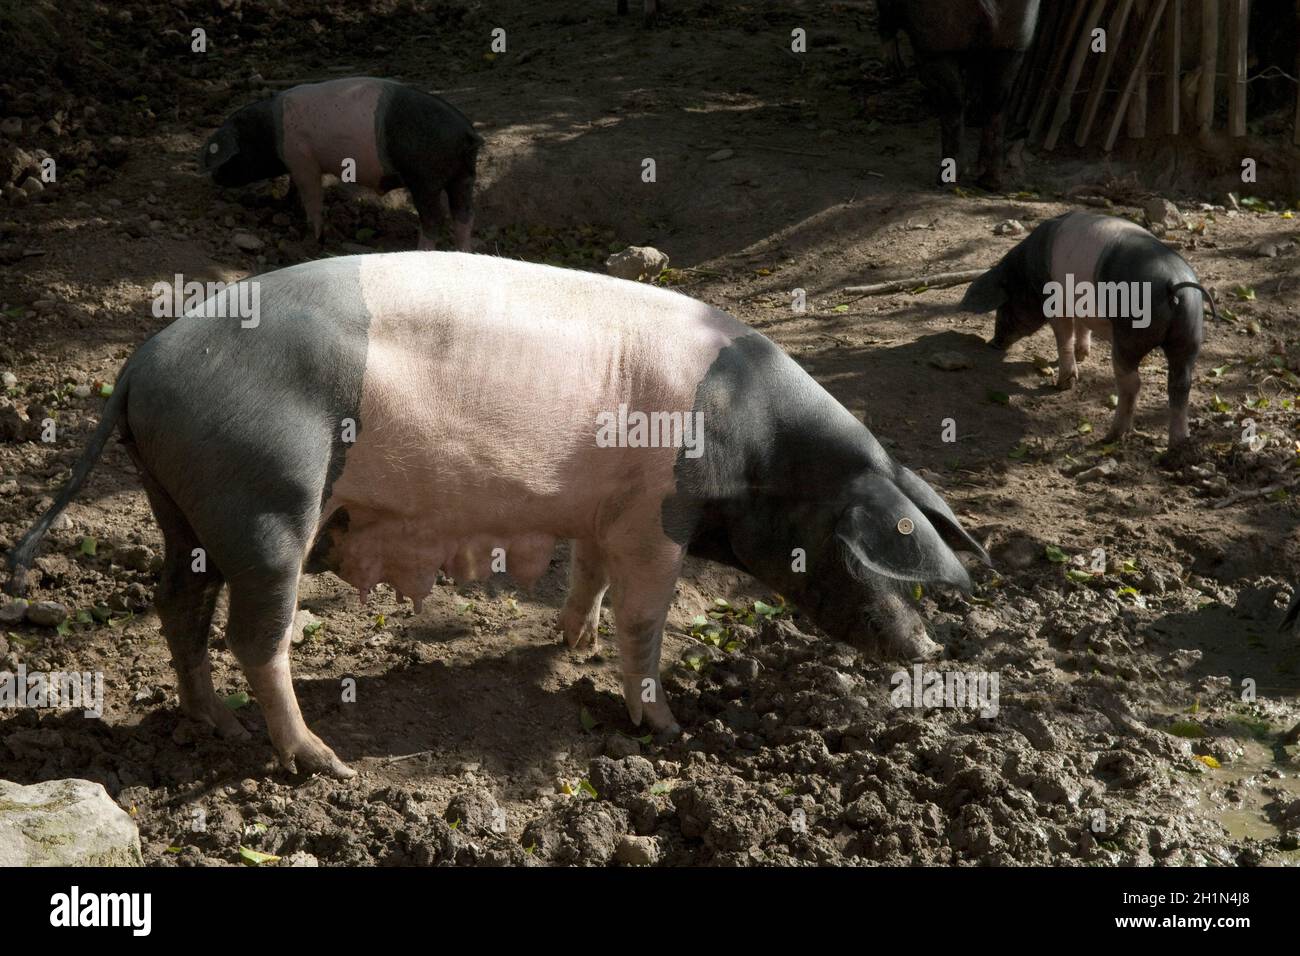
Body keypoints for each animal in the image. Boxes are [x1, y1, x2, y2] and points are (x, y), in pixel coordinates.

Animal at [7, 252, 982, 780]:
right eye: (861, 550)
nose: (929, 648)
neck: (762, 454)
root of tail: (140, 366)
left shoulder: (604, 514)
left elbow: (589, 578)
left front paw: (566, 645)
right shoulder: (654, 518)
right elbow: (646, 618)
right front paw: (666, 727)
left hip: (183, 507)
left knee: (178, 606)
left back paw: (217, 725)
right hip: (269, 502)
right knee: (257, 634)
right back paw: (321, 761)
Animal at [200, 77, 486, 251]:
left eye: (230, 154)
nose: (214, 178)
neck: (268, 134)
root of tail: (467, 133)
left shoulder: (303, 159)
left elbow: (313, 197)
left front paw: (313, 239)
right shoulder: (298, 164)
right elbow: (294, 189)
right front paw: (285, 206)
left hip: (425, 178)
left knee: (434, 218)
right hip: (464, 176)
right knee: (465, 215)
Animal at [878, 0, 1040, 191]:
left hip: (936, 41)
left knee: (952, 100)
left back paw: (946, 179)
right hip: (1014, 39)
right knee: (997, 101)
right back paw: (990, 182)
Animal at [961, 210, 1211, 450]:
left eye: (1004, 305)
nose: (993, 343)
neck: (1025, 274)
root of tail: (1173, 284)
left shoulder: (1054, 301)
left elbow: (1064, 336)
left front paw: (1063, 384)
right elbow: (1082, 327)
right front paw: (1082, 355)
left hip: (1130, 335)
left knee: (1132, 383)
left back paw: (1110, 437)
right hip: (1190, 334)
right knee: (1180, 384)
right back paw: (1178, 445)